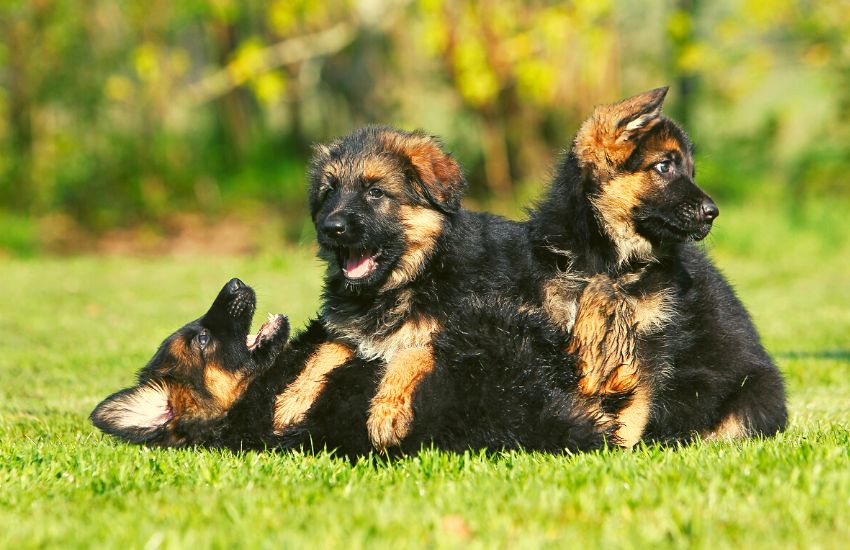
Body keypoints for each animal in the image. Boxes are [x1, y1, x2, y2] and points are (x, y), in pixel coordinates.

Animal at [528, 88, 784, 446]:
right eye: (664, 166)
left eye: (691, 172)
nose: (713, 212)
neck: (612, 261)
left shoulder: (650, 341)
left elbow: (634, 407)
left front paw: (619, 447)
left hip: (754, 391)